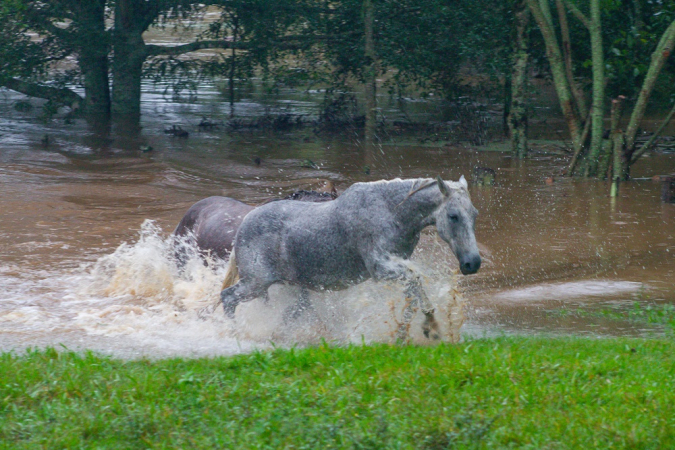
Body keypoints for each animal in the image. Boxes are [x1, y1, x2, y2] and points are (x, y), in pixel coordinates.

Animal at [220, 176, 480, 342]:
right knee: (228, 298)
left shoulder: (395, 265)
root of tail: (243, 227)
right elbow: (415, 280)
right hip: (255, 283)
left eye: (474, 214)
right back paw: (233, 333)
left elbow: (412, 293)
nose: (473, 263)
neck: (390, 211)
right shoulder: (380, 268)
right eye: (453, 216)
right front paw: (431, 327)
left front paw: (406, 333)